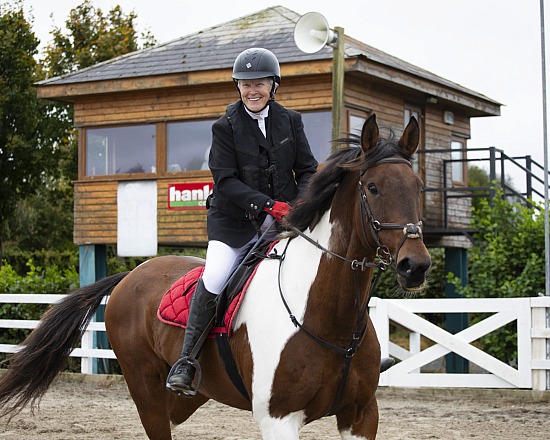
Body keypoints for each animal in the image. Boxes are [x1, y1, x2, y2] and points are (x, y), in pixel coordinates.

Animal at [0, 115, 432, 438]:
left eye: (419, 187)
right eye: (372, 187)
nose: (415, 265)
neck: (329, 318)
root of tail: (130, 275)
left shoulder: (361, 416)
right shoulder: (279, 420)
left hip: (187, 397)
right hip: (145, 389)